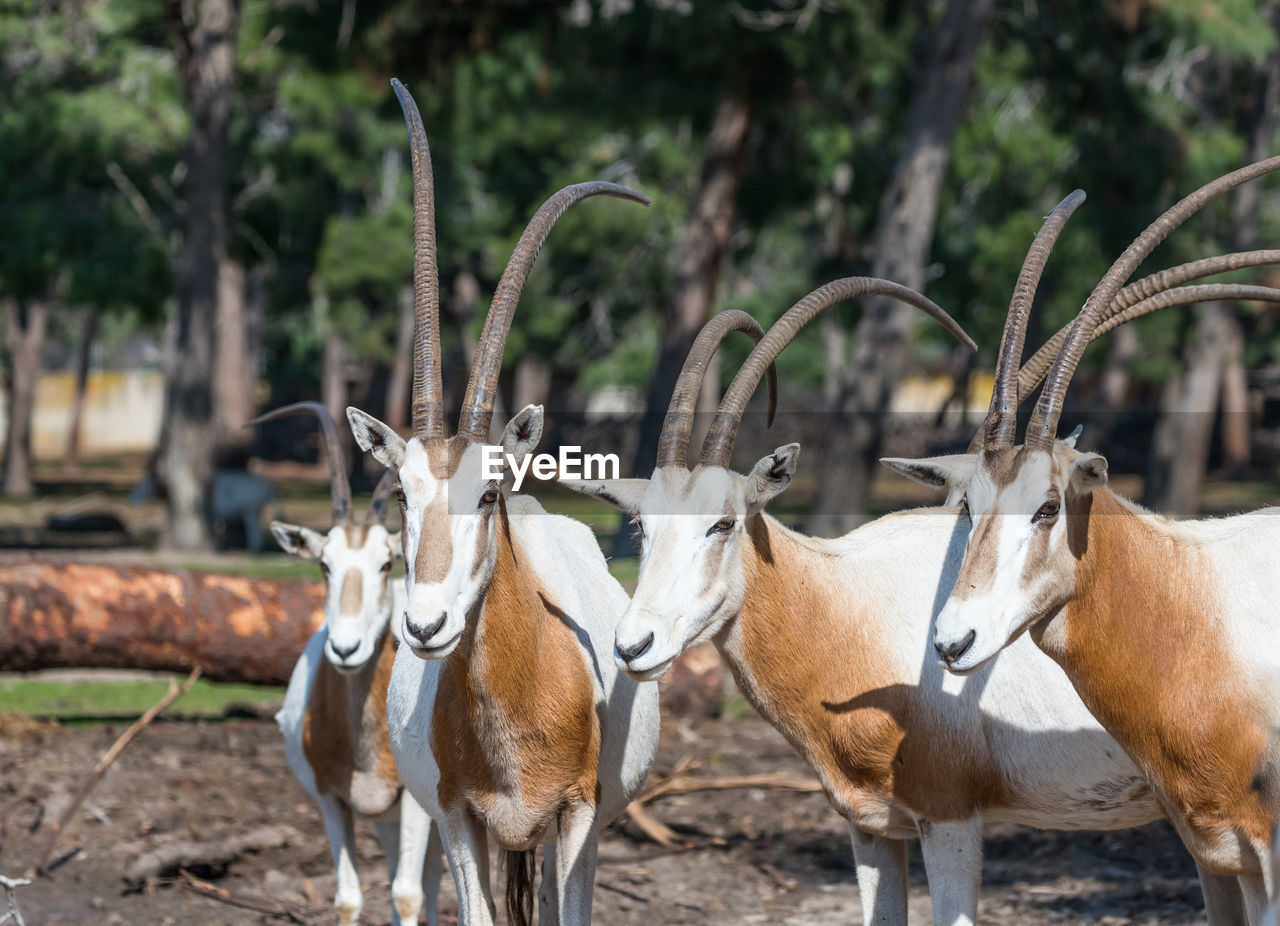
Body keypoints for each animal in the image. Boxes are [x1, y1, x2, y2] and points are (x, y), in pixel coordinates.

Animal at [254, 404, 445, 926]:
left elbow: (408, 893)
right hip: (385, 819)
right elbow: (349, 897)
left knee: (432, 881)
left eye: (386, 564)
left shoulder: (415, 803)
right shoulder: (330, 797)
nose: (344, 650)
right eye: (324, 564)